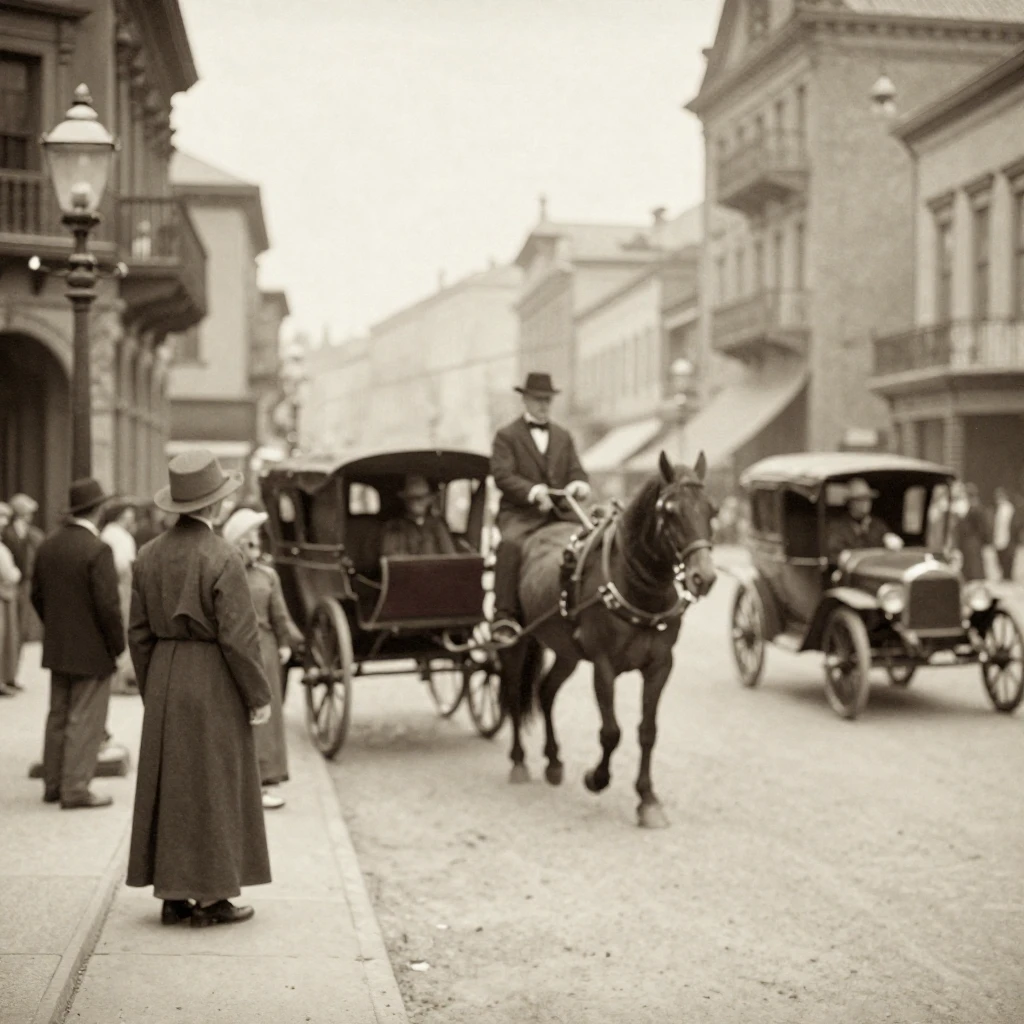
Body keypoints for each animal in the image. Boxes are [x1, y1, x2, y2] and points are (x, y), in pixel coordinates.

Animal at [498, 450, 718, 828]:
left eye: (711, 510)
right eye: (669, 511)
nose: (704, 577)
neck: (634, 587)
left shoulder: (660, 665)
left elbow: (648, 731)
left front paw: (647, 799)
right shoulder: (603, 665)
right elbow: (612, 732)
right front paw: (596, 778)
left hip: (567, 652)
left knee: (546, 691)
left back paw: (553, 761)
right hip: (519, 639)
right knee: (514, 693)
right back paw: (518, 760)